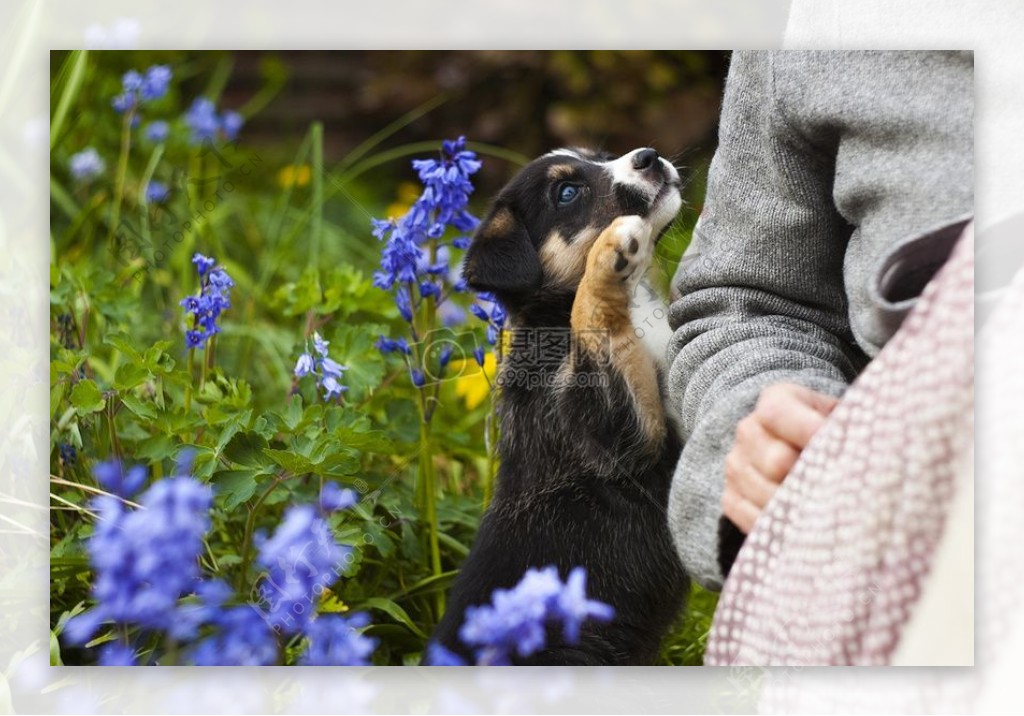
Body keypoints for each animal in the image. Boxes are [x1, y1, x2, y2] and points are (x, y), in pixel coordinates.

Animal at [432, 147, 688, 667]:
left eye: (599, 157)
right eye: (567, 192)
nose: (649, 156)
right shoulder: (617, 435)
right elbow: (591, 321)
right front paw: (608, 255)